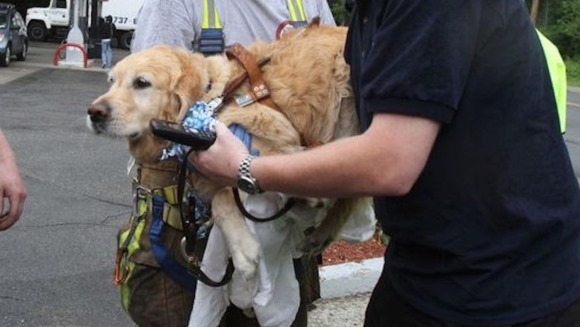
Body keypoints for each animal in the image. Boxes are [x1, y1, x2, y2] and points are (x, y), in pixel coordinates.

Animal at [87, 20, 372, 284]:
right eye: (112, 81)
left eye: (142, 82)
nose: (94, 113)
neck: (213, 97)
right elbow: (220, 198)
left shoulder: (277, 145)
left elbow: (225, 195)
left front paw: (244, 252)